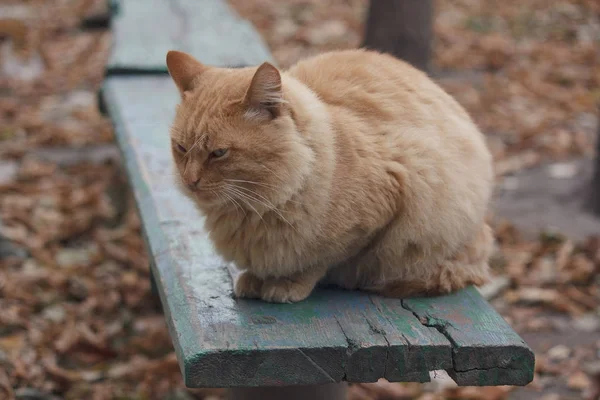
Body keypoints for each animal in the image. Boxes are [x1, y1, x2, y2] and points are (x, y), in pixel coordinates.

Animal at [164, 47, 492, 304]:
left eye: (219, 153)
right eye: (181, 148)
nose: (190, 180)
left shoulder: (380, 210)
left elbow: (319, 262)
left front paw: (286, 284)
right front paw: (256, 279)